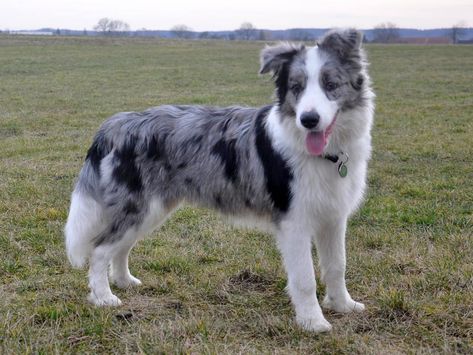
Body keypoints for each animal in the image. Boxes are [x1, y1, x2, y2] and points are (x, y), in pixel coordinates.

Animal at [64, 28, 372, 334]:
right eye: (296, 87)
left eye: (330, 84)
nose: (309, 119)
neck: (327, 155)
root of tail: (115, 124)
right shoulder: (294, 223)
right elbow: (305, 279)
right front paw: (313, 322)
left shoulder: (333, 217)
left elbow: (337, 266)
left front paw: (343, 305)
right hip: (136, 207)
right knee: (99, 249)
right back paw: (104, 297)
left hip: (149, 211)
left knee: (120, 248)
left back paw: (124, 281)